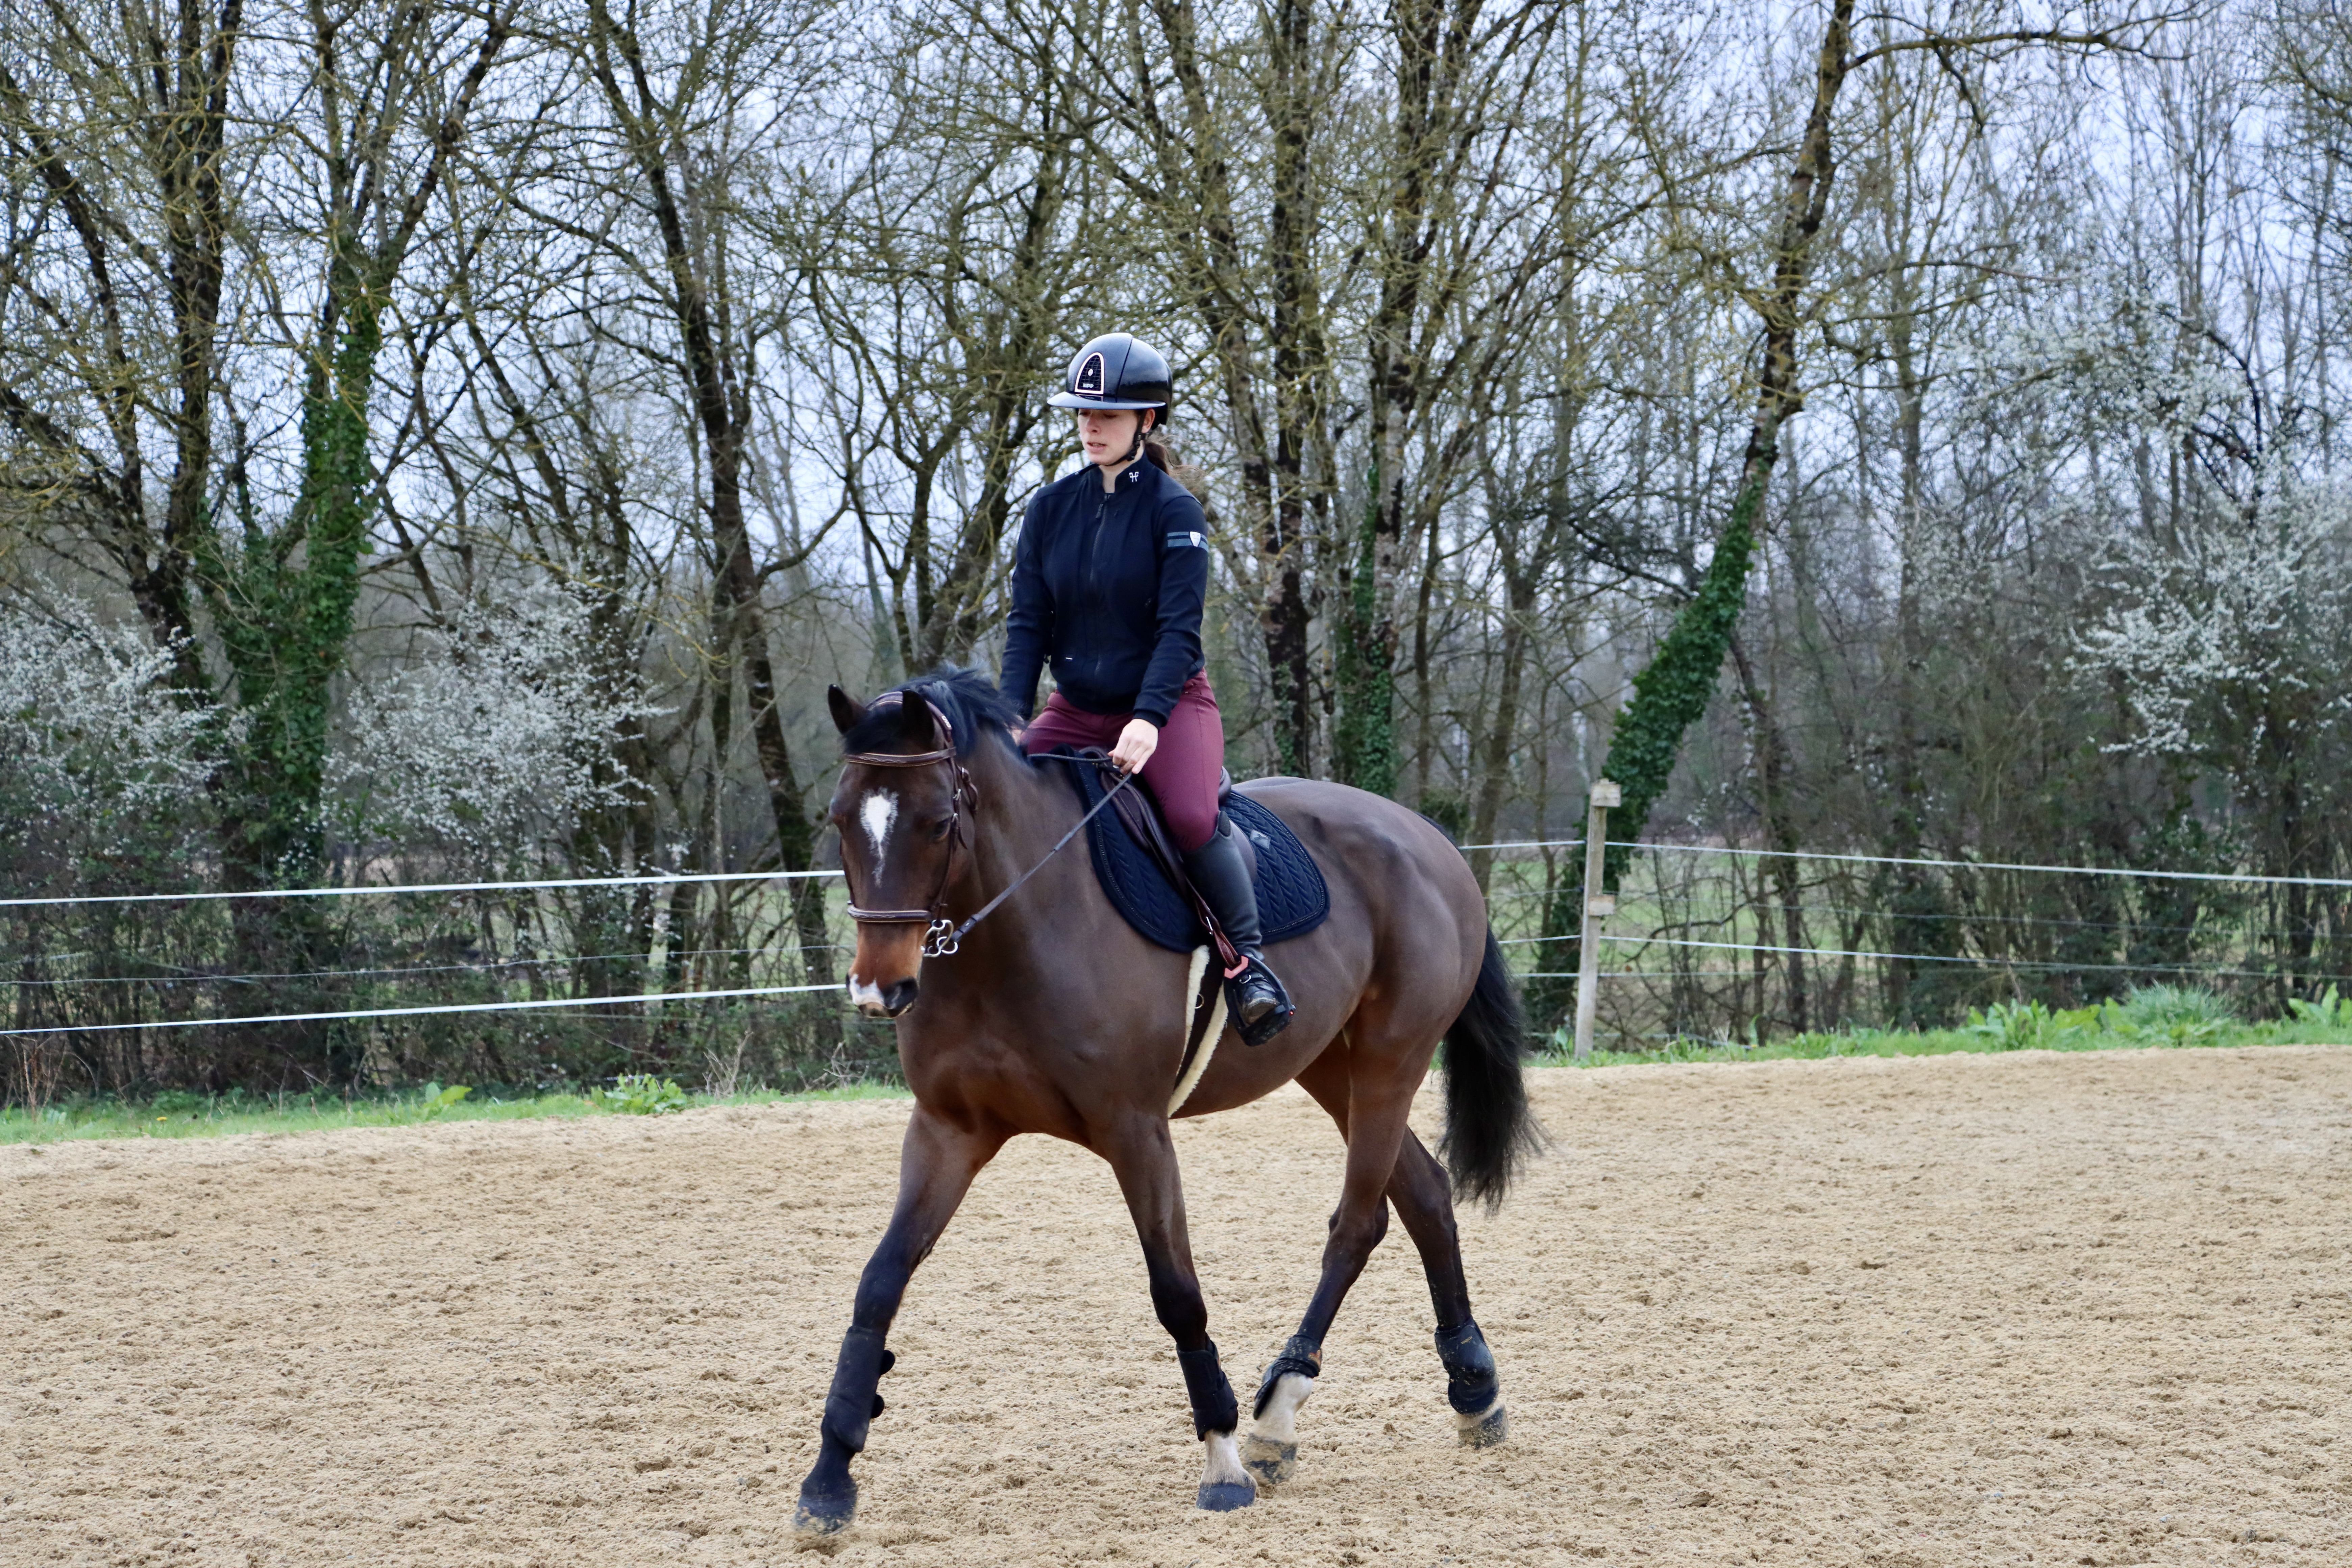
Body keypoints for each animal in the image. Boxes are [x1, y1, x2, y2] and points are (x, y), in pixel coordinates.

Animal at [800, 667, 1552, 1542]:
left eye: (939, 821)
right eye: (840, 818)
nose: (878, 988)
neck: (1016, 928)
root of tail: (1427, 837)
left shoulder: (1136, 1130)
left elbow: (1177, 1292)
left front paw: (1222, 1460)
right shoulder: (948, 1130)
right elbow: (879, 1283)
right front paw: (829, 1476)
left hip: (1390, 1062)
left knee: (1358, 1223)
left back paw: (1279, 1412)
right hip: (1335, 1070)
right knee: (1425, 1194)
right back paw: (1475, 1389)